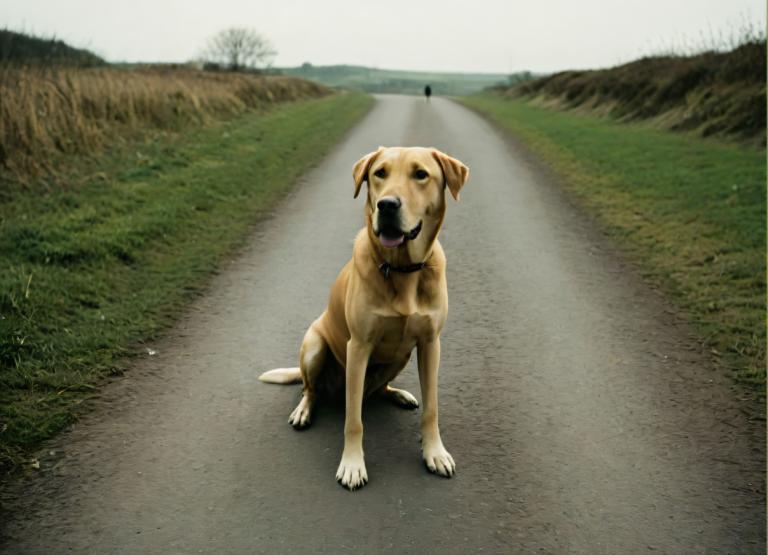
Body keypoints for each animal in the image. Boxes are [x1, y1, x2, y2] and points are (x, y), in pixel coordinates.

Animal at [260, 146, 468, 488]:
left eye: (421, 174)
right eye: (379, 173)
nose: (387, 205)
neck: (401, 269)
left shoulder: (430, 344)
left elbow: (432, 409)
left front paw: (434, 452)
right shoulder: (357, 348)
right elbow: (353, 419)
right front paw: (352, 464)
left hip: (400, 358)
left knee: (379, 389)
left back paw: (399, 395)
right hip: (315, 345)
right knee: (309, 389)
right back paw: (304, 410)